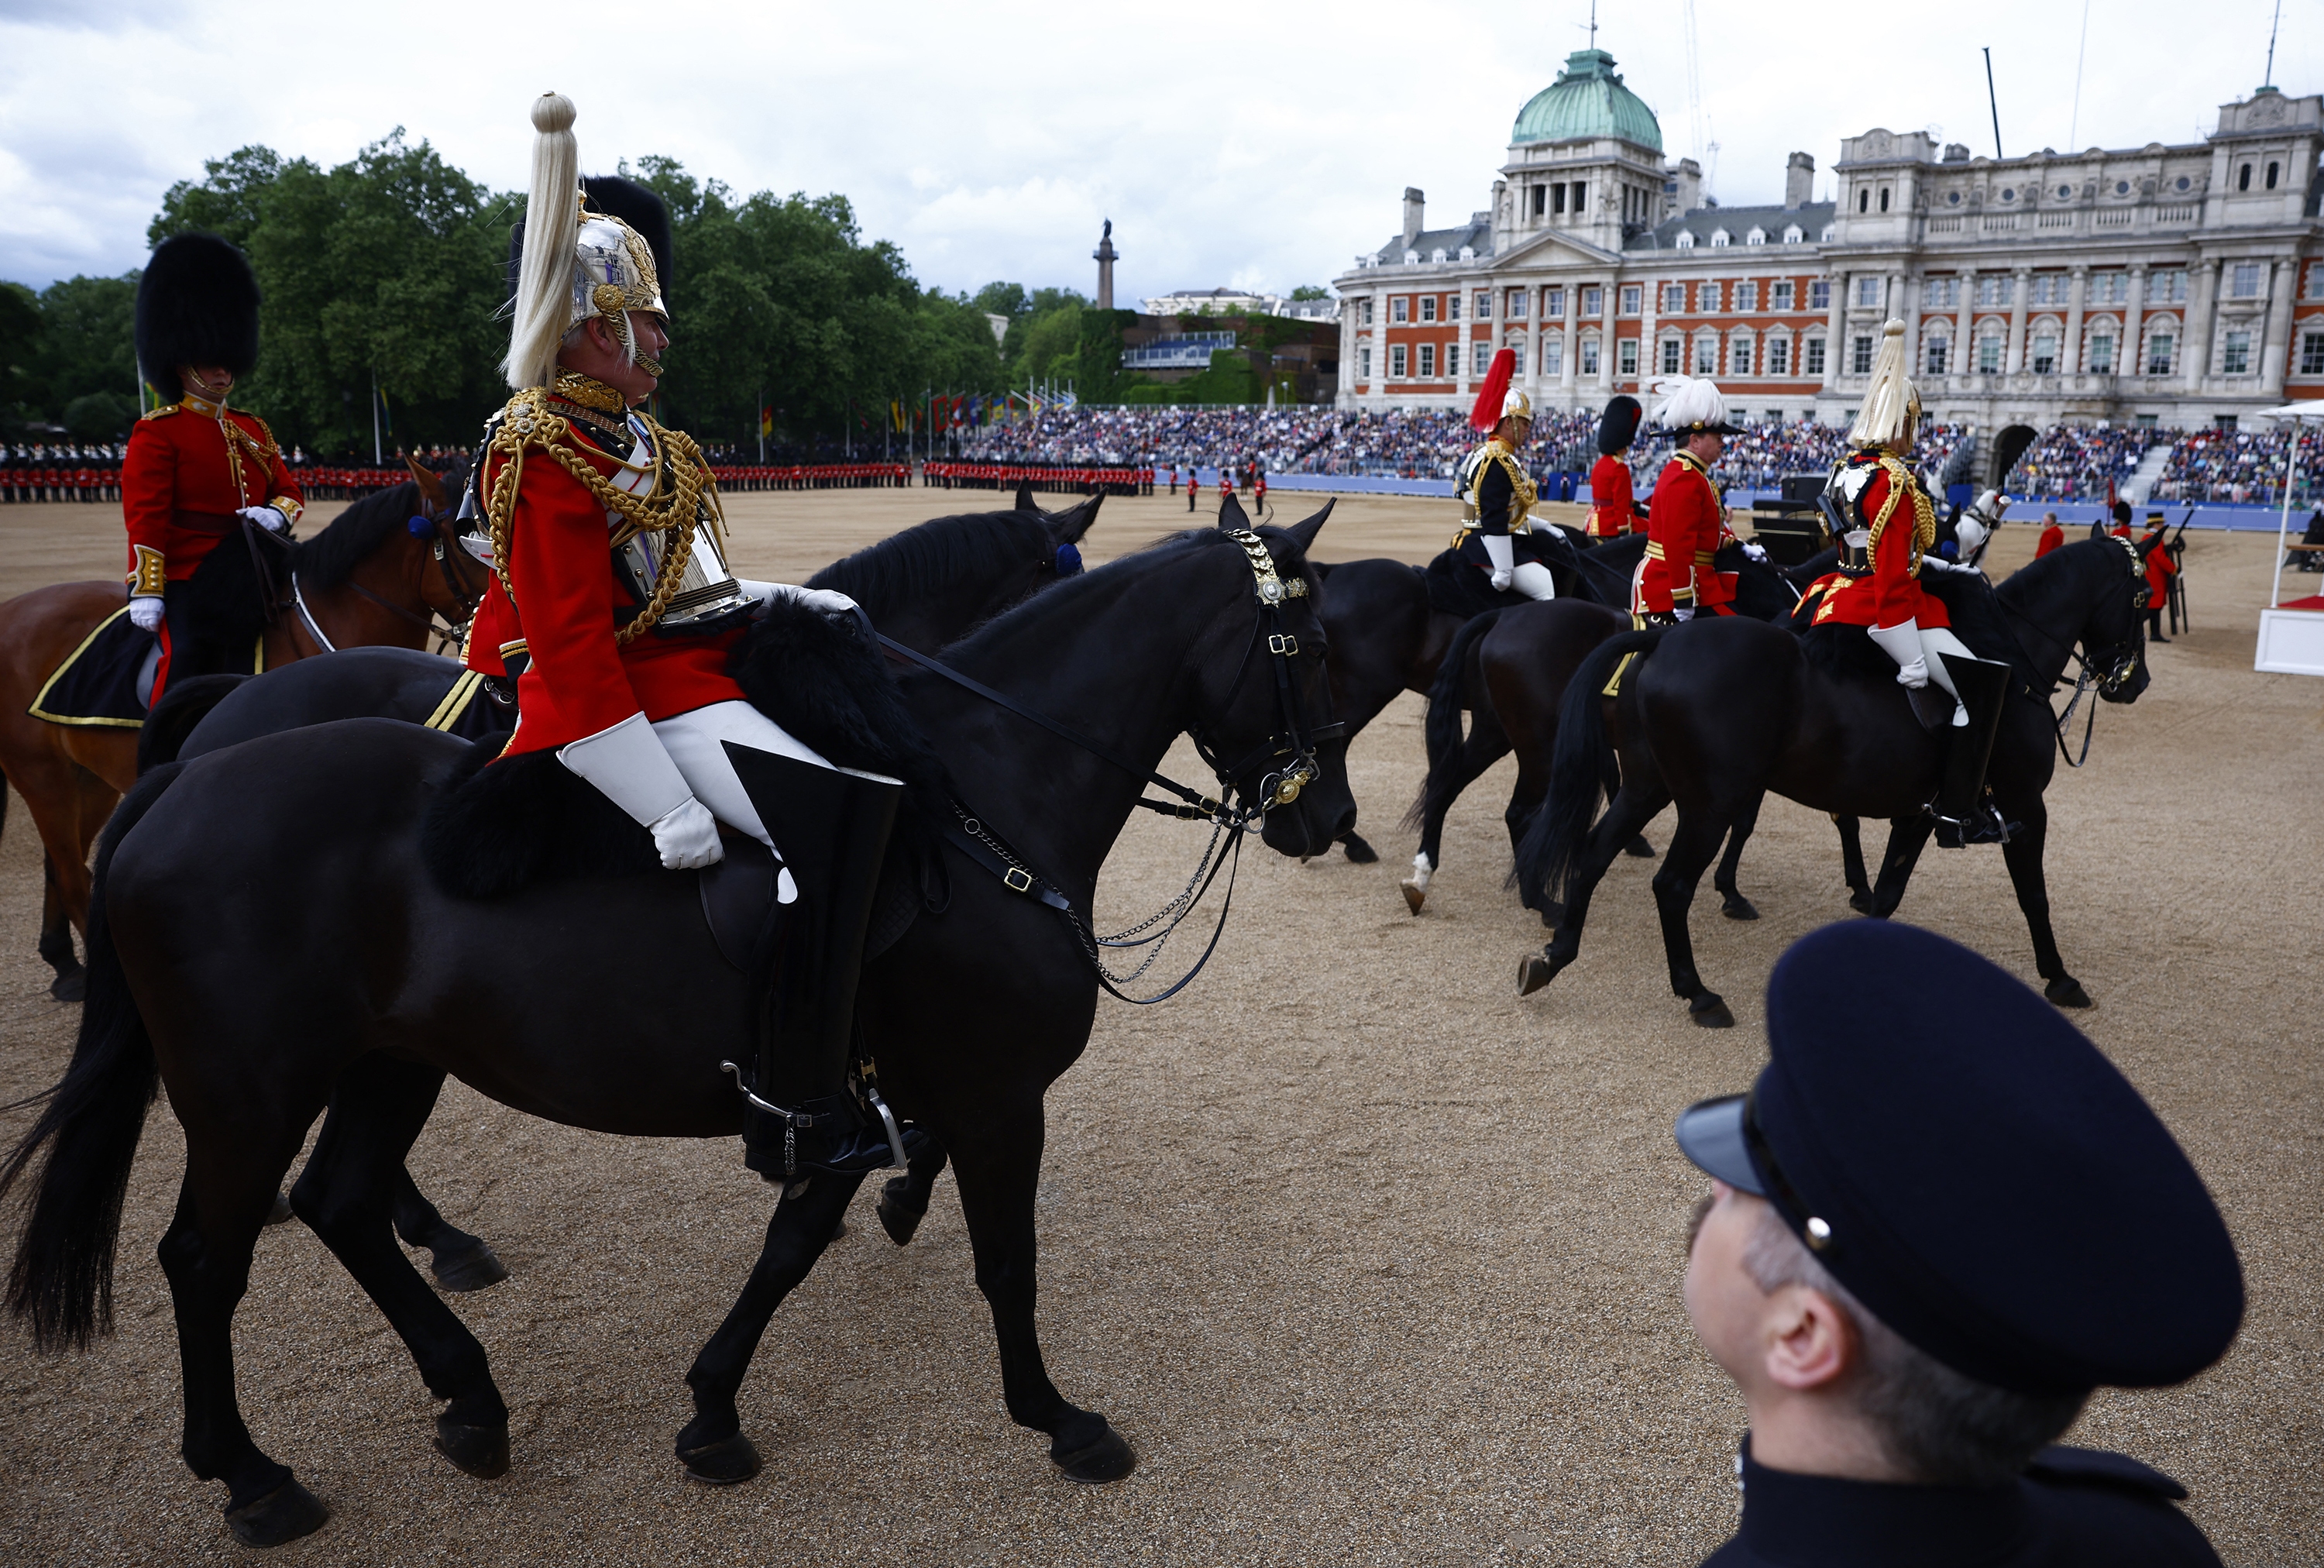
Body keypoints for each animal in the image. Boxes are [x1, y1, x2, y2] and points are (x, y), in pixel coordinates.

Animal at [0, 459, 481, 999]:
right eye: (466, 535)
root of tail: (12, 609)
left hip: (88, 780)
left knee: (59, 863)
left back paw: (64, 963)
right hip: (43, 775)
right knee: (70, 872)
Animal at [1510, 534, 2155, 1025]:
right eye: (2143, 599)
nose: (2135, 683)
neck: (2011, 664)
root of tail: (1661, 634)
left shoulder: (1922, 812)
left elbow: (1888, 895)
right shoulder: (2023, 806)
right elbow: (2034, 896)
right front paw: (2060, 978)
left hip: (1649, 787)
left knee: (1593, 853)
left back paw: (1553, 955)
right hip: (1708, 805)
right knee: (1670, 886)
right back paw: (1699, 994)